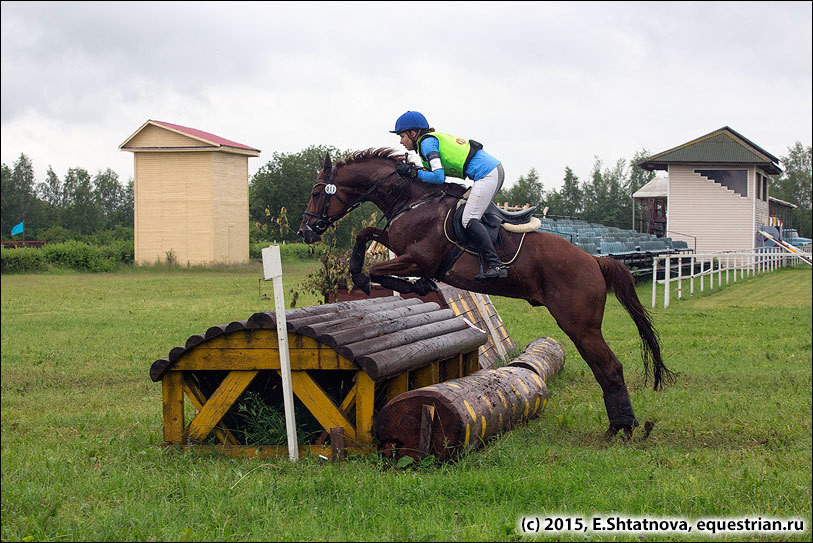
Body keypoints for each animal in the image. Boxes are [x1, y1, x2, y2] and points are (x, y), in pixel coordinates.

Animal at [298, 147, 672, 440]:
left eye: (317, 191)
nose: (304, 231)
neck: (413, 200)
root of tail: (594, 259)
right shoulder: (398, 244)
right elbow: (365, 233)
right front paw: (360, 272)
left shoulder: (420, 258)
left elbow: (380, 270)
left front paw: (408, 285)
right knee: (605, 368)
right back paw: (620, 426)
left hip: (580, 325)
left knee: (609, 368)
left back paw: (621, 429)